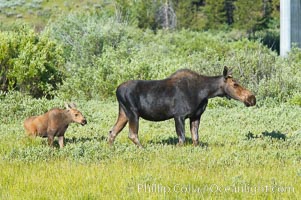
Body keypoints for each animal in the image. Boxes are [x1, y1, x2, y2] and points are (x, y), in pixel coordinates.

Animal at [108, 67, 255, 147]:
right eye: (235, 84)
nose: (252, 98)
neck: (205, 92)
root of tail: (117, 90)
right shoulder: (179, 115)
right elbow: (182, 139)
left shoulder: (196, 116)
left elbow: (195, 139)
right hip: (133, 112)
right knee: (132, 134)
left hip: (124, 113)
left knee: (112, 131)